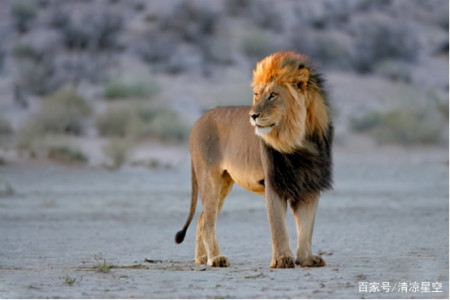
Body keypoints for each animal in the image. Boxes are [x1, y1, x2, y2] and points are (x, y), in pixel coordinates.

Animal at [174, 50, 332, 268]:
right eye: (256, 95)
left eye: (273, 95)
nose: (253, 115)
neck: (299, 141)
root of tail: (198, 121)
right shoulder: (274, 183)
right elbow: (278, 226)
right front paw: (282, 259)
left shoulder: (310, 185)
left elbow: (307, 227)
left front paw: (307, 259)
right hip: (210, 178)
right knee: (207, 222)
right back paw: (216, 258)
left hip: (224, 182)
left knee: (202, 218)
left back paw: (202, 259)